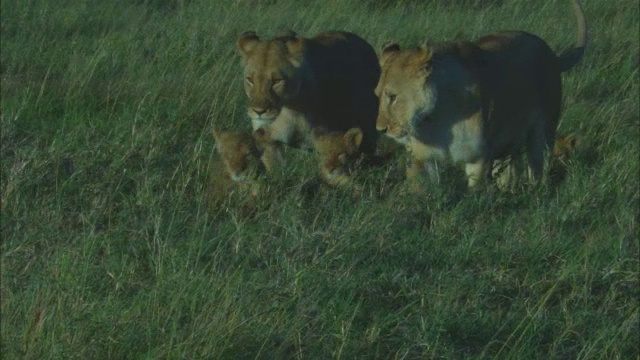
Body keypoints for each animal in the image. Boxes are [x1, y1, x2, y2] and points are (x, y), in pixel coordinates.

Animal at [239, 30, 380, 181]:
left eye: (277, 80)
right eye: (250, 80)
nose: (259, 111)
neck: (290, 109)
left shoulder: (329, 140)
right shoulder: (267, 138)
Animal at [378, 0, 588, 191]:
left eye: (392, 97)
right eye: (377, 94)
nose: (381, 129)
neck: (437, 119)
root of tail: (552, 55)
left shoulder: (478, 158)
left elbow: (474, 194)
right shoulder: (420, 158)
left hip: (542, 134)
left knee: (538, 168)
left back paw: (535, 192)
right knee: (510, 170)